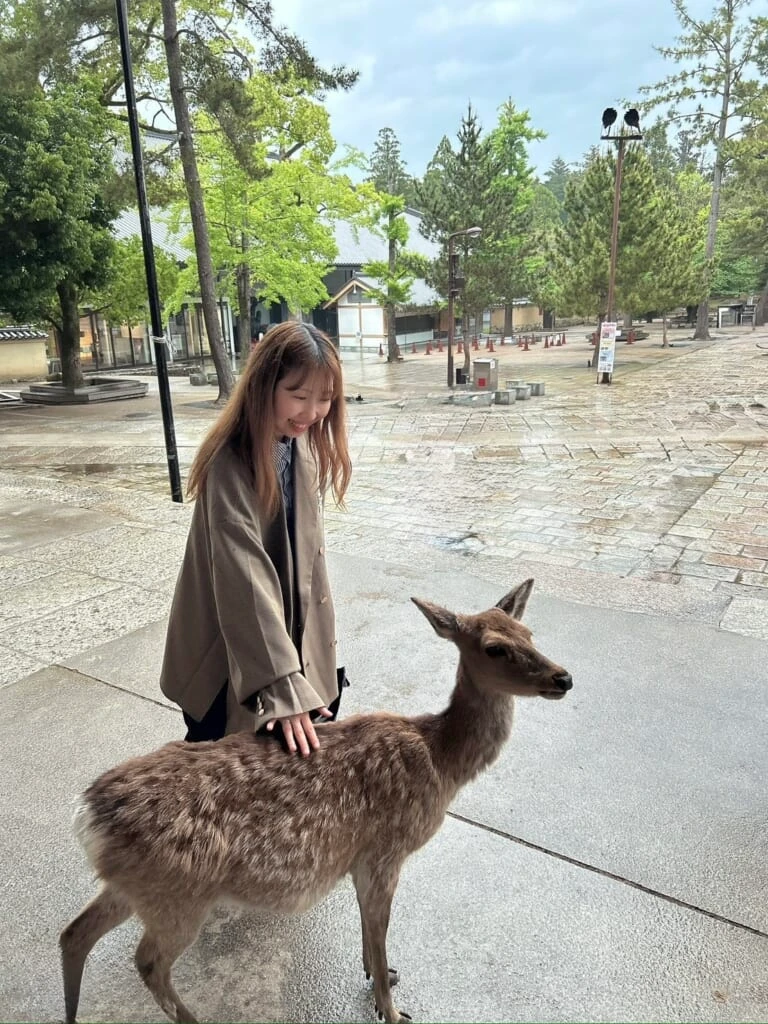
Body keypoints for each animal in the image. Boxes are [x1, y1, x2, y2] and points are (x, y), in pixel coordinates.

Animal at [60, 579, 573, 1024]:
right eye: (495, 648)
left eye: (530, 634)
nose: (563, 677)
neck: (440, 760)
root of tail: (87, 816)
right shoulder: (386, 850)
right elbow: (380, 928)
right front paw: (390, 1009)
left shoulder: (360, 858)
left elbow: (369, 927)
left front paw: (380, 975)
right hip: (179, 894)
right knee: (148, 962)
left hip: (136, 886)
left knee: (73, 934)